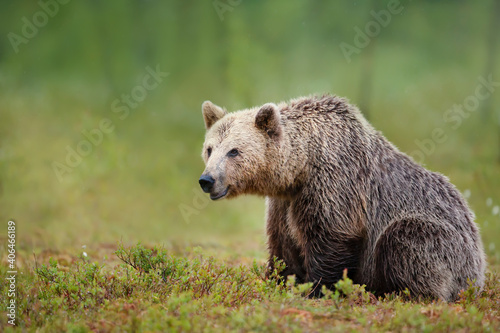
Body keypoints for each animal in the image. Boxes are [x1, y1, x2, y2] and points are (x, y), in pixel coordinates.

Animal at [198, 94, 484, 300]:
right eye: (210, 149)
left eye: (234, 151)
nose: (207, 180)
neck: (301, 168)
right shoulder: (284, 202)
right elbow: (282, 245)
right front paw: (277, 281)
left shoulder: (334, 184)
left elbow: (330, 237)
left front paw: (317, 290)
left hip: (445, 243)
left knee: (403, 240)